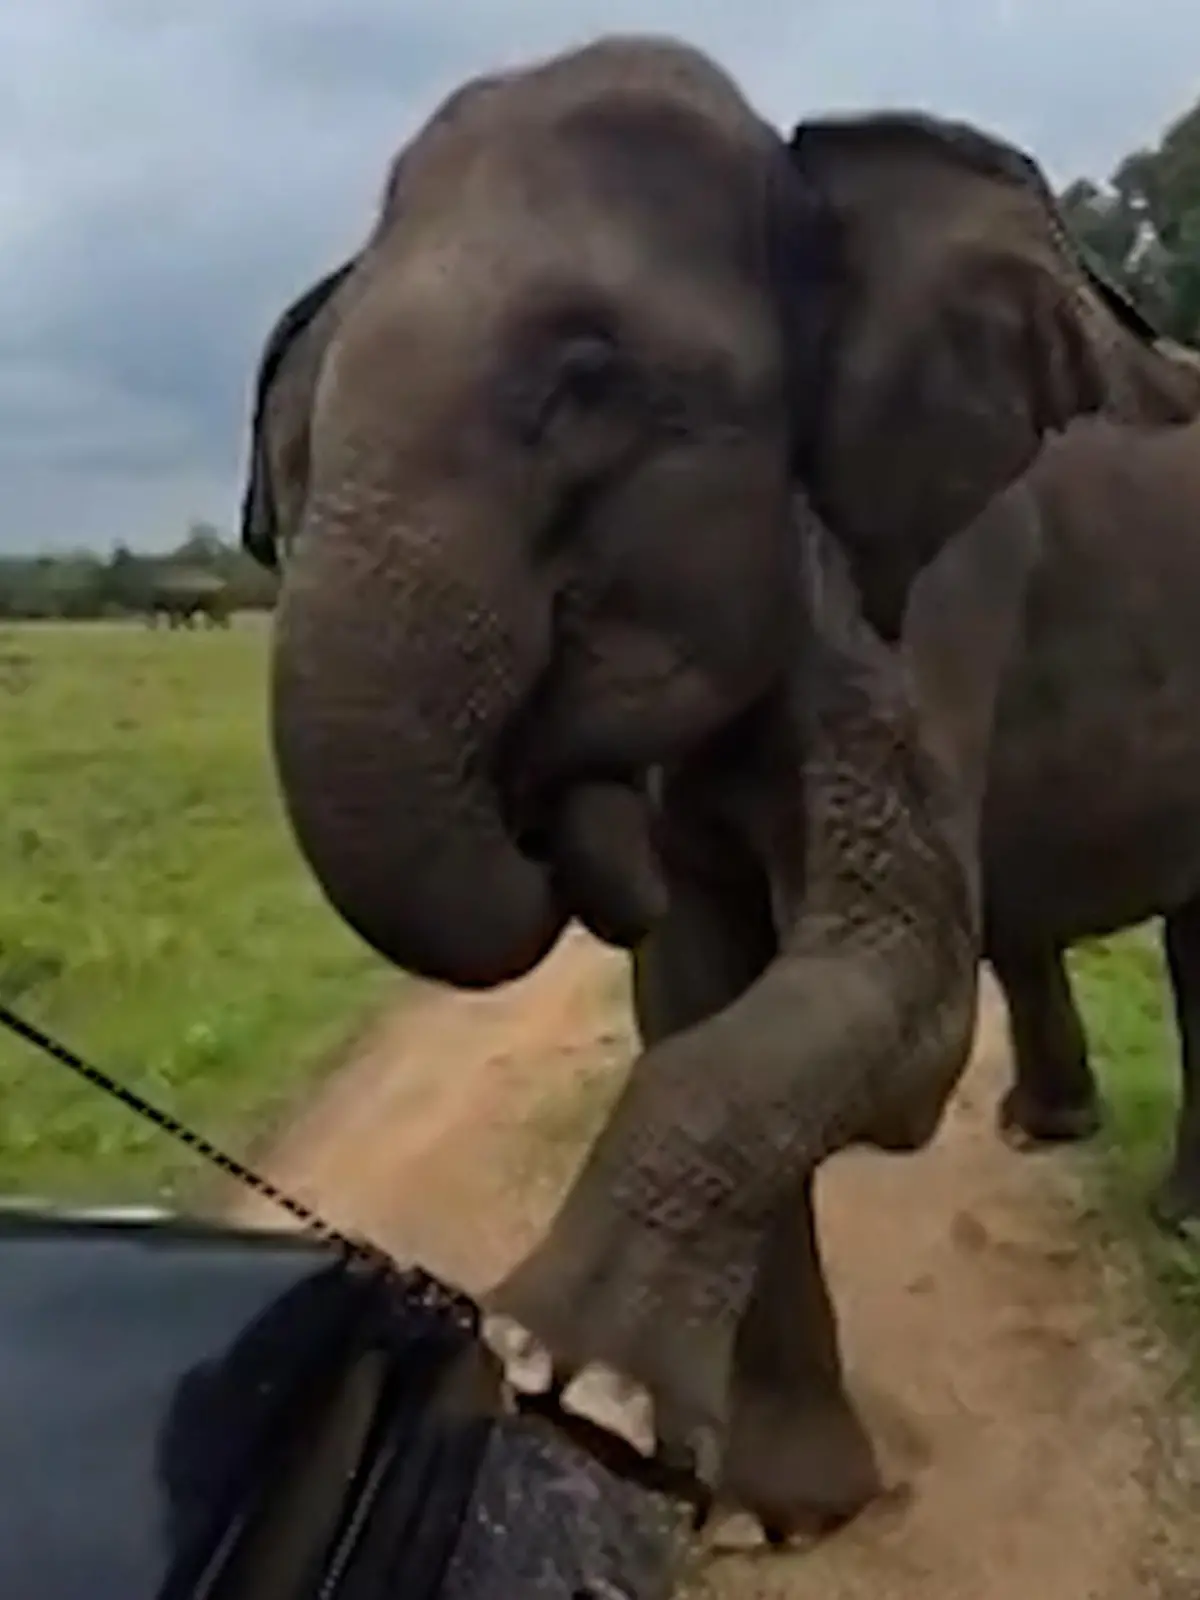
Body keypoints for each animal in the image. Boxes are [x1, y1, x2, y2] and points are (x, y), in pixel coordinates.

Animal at [234, 35, 1200, 1532]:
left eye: (590, 382)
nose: (566, 790)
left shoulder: (933, 586)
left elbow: (901, 993)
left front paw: (565, 1379)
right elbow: (697, 984)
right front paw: (762, 1500)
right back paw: (1055, 1140)